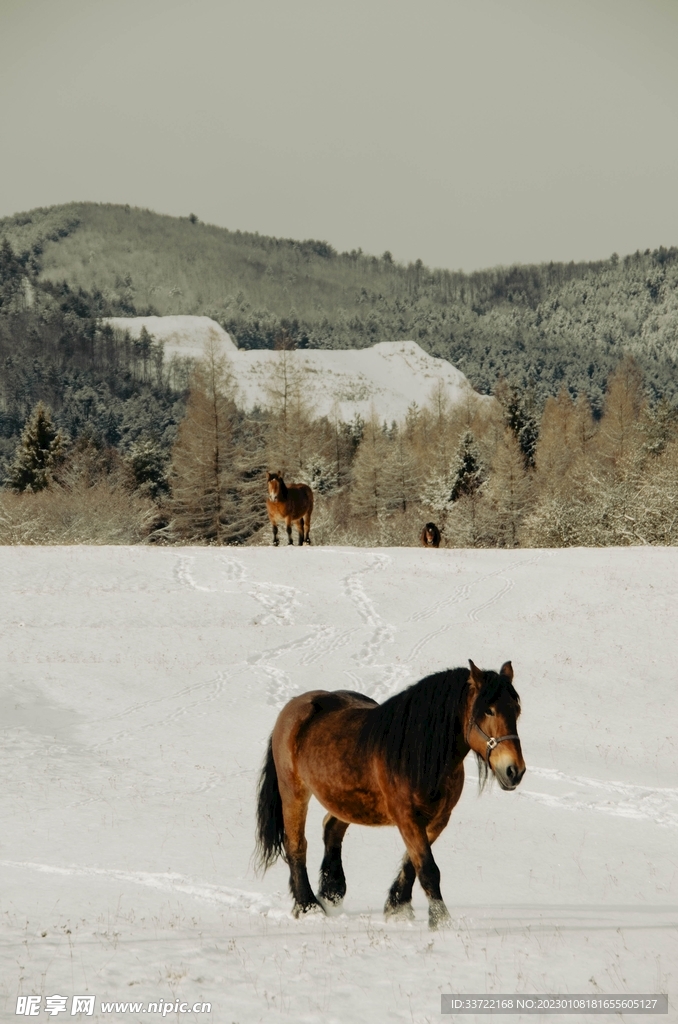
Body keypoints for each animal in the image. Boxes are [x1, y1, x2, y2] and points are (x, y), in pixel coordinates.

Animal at [255, 660, 524, 929]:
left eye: (517, 710)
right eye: (488, 711)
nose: (515, 771)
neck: (419, 755)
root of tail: (293, 707)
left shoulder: (438, 819)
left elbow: (412, 863)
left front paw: (397, 908)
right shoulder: (407, 818)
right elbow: (428, 869)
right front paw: (441, 921)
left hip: (345, 800)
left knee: (331, 829)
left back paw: (332, 894)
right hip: (293, 792)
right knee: (296, 844)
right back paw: (308, 906)